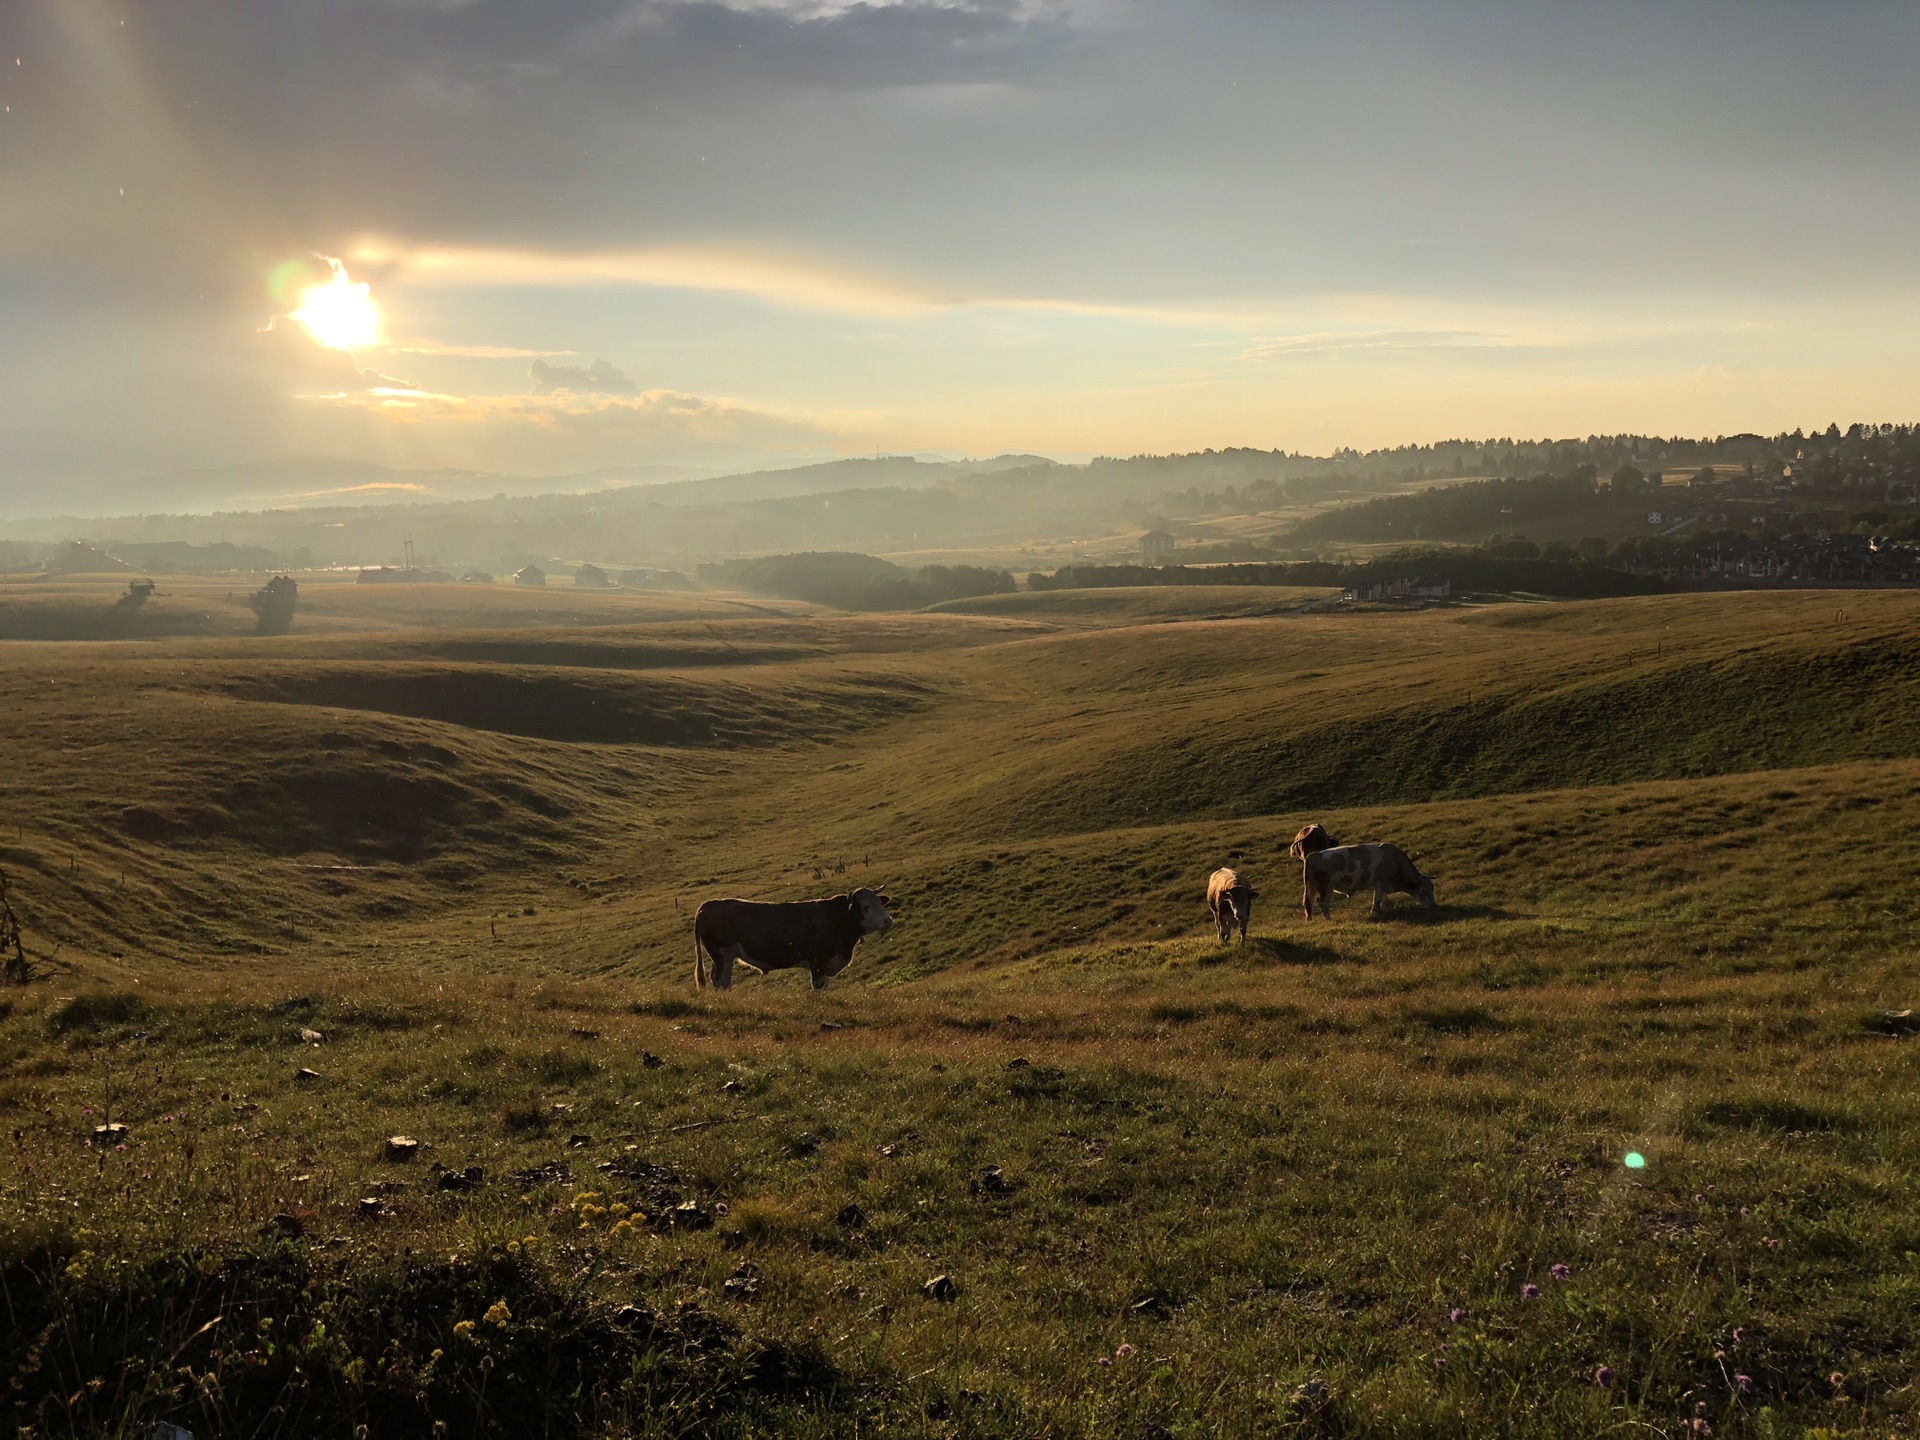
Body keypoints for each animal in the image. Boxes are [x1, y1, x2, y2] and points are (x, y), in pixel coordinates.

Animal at [695, 890, 894, 990]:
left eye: (880, 903)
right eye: (866, 907)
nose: (888, 920)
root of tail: (709, 904)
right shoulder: (818, 962)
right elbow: (818, 988)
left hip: (722, 958)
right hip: (723, 955)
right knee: (722, 982)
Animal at [1297, 844, 1436, 925]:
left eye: (1432, 889)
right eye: (1423, 891)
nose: (1433, 905)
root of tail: (1313, 854)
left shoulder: (1384, 885)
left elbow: (1382, 899)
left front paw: (1381, 910)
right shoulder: (1380, 883)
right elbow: (1377, 899)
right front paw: (1374, 911)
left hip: (1312, 887)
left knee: (1309, 902)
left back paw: (1309, 920)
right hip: (1326, 888)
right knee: (1322, 903)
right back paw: (1329, 920)